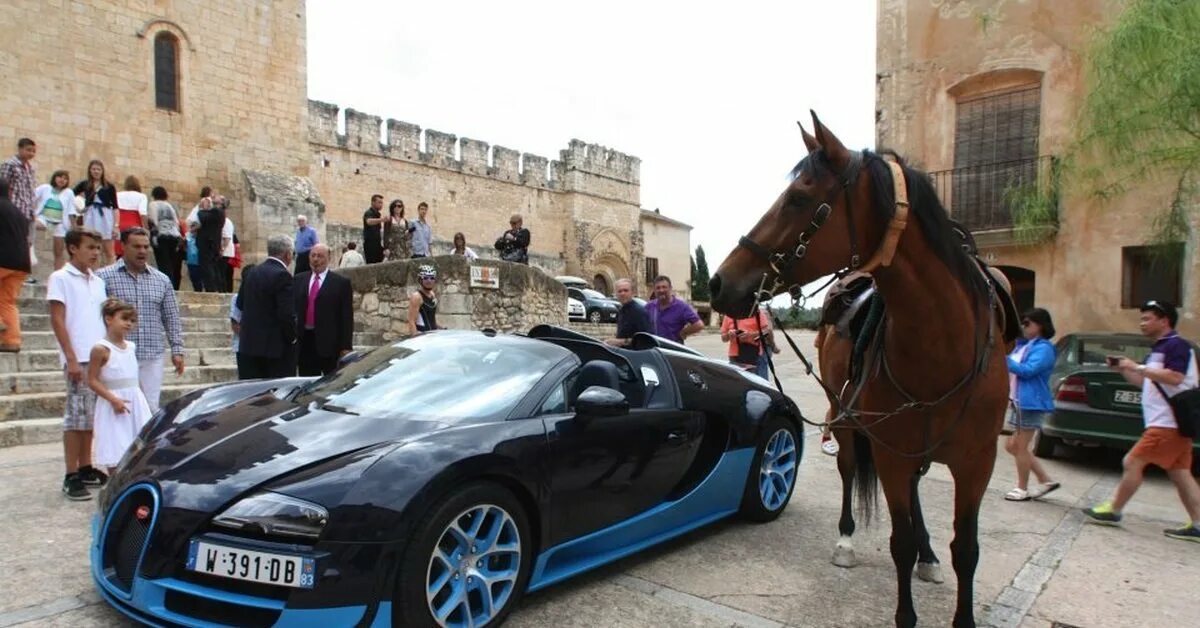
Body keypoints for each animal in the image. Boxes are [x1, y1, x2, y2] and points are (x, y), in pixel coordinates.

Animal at [710, 114, 1012, 628]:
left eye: (798, 198)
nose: (718, 283)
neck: (945, 349)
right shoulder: (890, 454)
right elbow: (899, 543)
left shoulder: (977, 462)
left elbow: (966, 549)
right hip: (845, 419)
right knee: (851, 471)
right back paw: (847, 539)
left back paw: (929, 555)